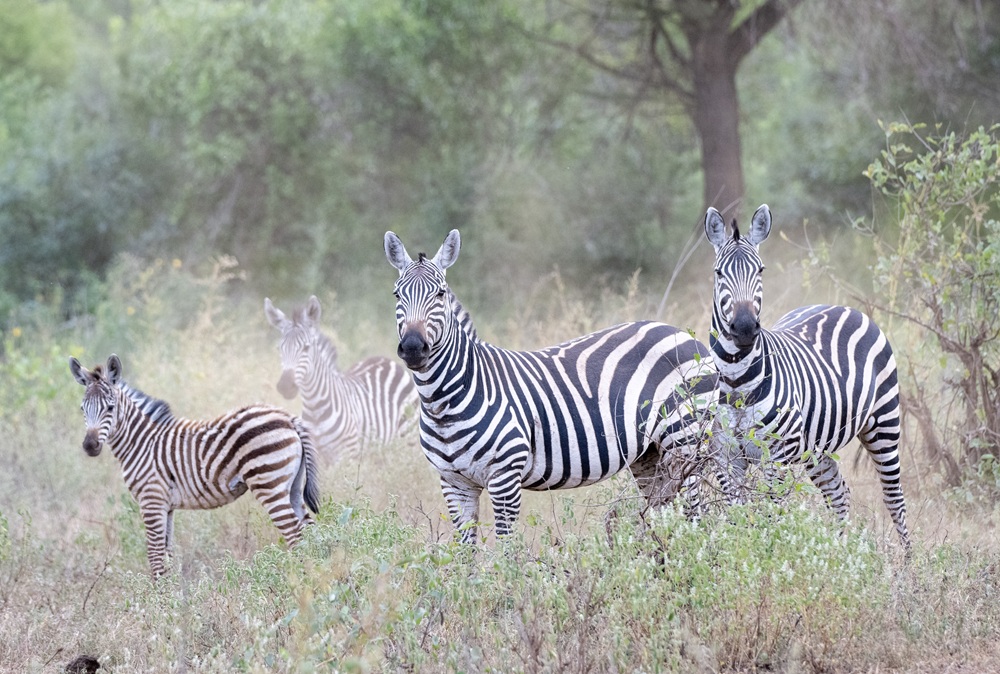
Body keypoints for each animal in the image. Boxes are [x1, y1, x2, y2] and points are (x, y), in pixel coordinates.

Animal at [69, 354, 320, 577]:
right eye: (82, 409)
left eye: (110, 408)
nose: (90, 446)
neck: (141, 443)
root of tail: (288, 417)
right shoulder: (166, 506)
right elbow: (167, 557)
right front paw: (170, 597)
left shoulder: (151, 501)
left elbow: (155, 558)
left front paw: (157, 599)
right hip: (292, 486)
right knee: (309, 532)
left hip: (268, 482)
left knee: (294, 534)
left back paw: (300, 583)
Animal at [264, 295, 418, 462]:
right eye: (280, 349)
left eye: (306, 348)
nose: (285, 386)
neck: (314, 407)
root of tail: (385, 360)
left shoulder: (346, 455)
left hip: (408, 436)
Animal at [384, 229, 717, 544]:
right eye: (397, 295)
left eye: (440, 294)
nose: (413, 348)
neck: (444, 400)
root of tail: (680, 332)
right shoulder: (454, 483)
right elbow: (465, 552)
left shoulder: (505, 477)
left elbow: (507, 550)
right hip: (651, 454)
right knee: (667, 517)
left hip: (686, 441)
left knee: (698, 517)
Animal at [704, 204, 910, 550]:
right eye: (719, 274)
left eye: (761, 271)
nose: (744, 328)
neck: (737, 382)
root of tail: (844, 307)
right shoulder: (727, 456)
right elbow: (737, 515)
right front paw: (740, 554)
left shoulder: (777, 455)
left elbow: (770, 515)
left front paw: (770, 556)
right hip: (816, 446)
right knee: (838, 491)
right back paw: (838, 550)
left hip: (884, 424)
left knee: (894, 498)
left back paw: (907, 560)